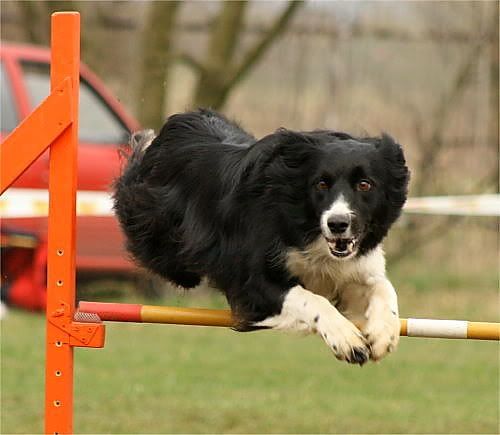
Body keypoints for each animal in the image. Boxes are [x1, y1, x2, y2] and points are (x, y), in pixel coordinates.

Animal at [113, 109, 409, 365]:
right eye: (321, 184)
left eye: (365, 184)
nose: (337, 224)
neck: (305, 227)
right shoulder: (252, 280)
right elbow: (309, 298)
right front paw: (348, 340)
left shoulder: (349, 268)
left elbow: (382, 287)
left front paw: (384, 334)